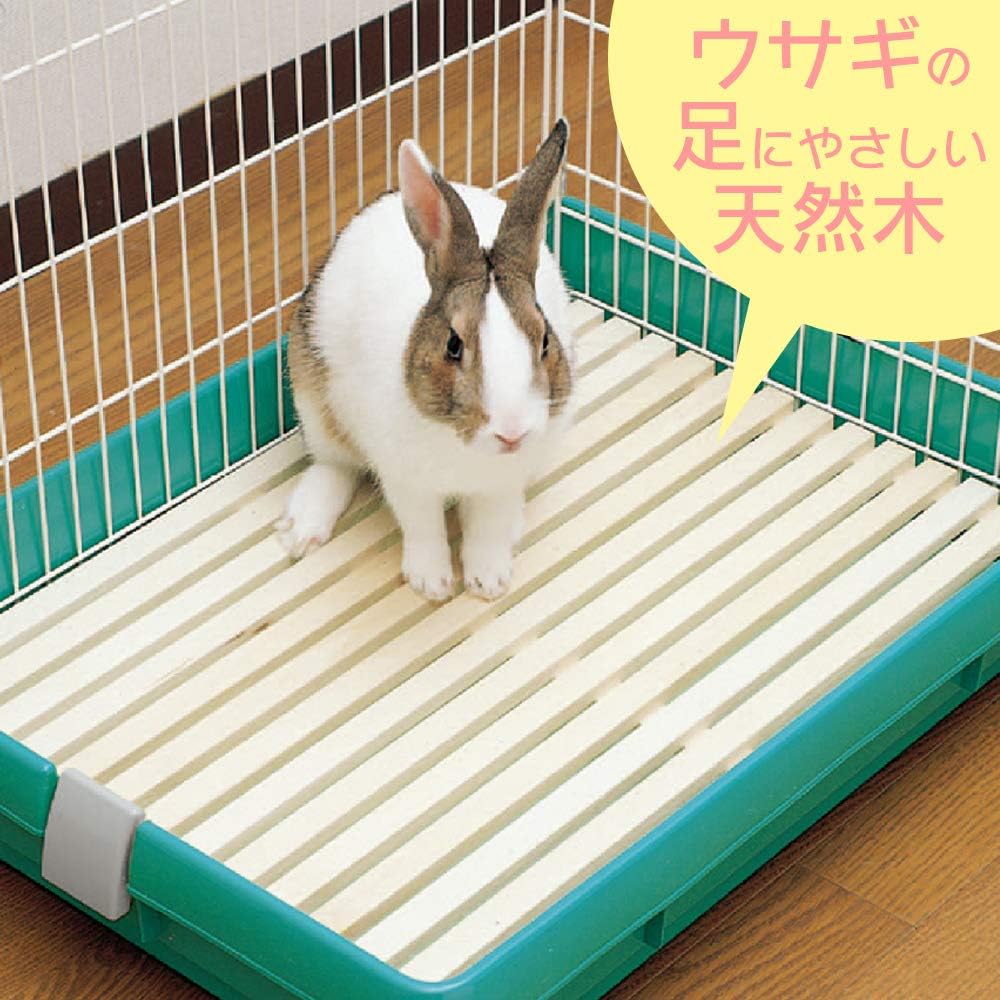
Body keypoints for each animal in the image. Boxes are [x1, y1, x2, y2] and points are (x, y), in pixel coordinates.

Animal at [276, 119, 575, 603]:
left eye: (545, 340)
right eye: (453, 346)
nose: (511, 432)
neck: (465, 448)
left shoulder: (501, 485)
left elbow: (487, 529)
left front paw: (488, 582)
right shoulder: (406, 482)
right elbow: (423, 528)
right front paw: (431, 584)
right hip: (310, 391)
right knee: (334, 463)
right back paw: (303, 528)